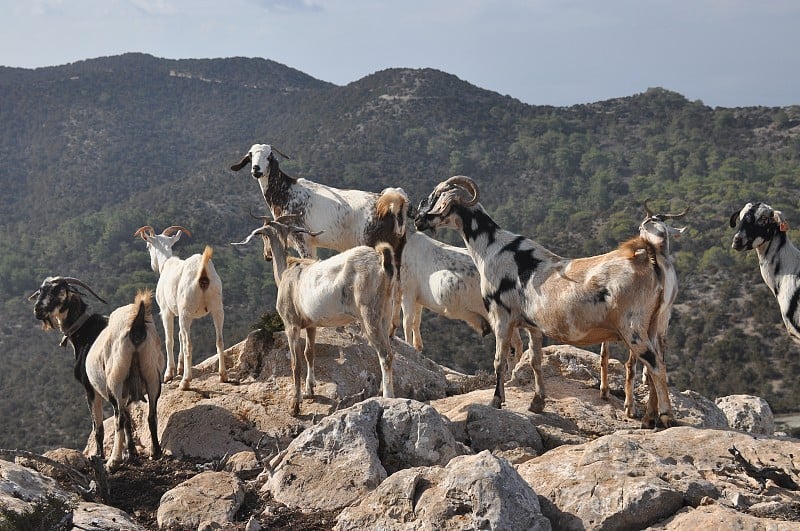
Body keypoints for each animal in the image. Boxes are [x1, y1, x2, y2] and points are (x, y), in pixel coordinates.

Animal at [28, 278, 111, 462]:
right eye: (40, 290)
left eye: (58, 290)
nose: (38, 310)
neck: (83, 330)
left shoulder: (90, 388)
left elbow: (97, 426)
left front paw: (99, 456)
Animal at [134, 224, 227, 390]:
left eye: (148, 246)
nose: (152, 265)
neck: (167, 264)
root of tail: (203, 272)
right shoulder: (189, 315)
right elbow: (180, 336)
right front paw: (179, 367)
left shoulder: (166, 311)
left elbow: (169, 339)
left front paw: (169, 373)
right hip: (216, 307)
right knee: (219, 340)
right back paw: (223, 376)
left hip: (185, 311)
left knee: (189, 344)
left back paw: (185, 381)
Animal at [234, 214, 404, 418]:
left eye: (264, 236)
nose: (266, 255)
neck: (286, 270)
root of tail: (381, 260)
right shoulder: (311, 324)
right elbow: (309, 353)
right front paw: (310, 390)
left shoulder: (291, 323)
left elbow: (296, 362)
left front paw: (295, 405)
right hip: (386, 310)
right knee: (388, 349)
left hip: (369, 312)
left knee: (385, 354)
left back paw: (388, 396)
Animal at [416, 177, 684, 430]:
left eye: (436, 196)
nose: (418, 220)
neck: (492, 248)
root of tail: (650, 258)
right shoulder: (533, 325)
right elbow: (535, 360)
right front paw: (537, 402)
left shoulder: (501, 316)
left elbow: (499, 359)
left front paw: (496, 401)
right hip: (657, 324)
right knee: (655, 365)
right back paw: (648, 419)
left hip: (632, 327)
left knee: (656, 366)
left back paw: (665, 416)